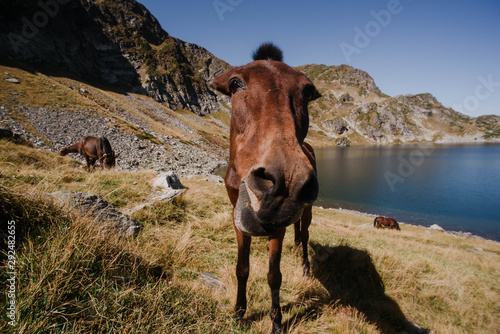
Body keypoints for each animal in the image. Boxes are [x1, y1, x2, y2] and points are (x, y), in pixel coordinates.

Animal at [211, 43, 320, 334]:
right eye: (235, 83)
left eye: (307, 91)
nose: (287, 183)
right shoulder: (236, 218)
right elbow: (242, 267)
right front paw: (239, 312)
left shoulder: (277, 227)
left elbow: (274, 276)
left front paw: (277, 321)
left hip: (307, 212)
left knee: (305, 235)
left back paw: (305, 268)